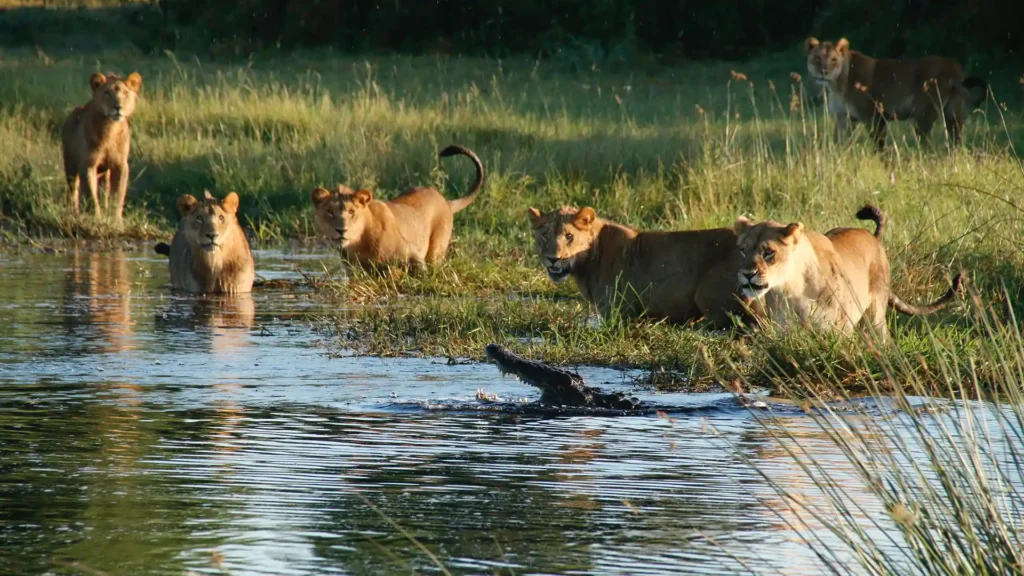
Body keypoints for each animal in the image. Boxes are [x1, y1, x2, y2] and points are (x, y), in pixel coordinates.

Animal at [61, 69, 142, 217]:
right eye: (107, 93)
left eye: (125, 93)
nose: (118, 107)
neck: (111, 129)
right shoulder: (88, 165)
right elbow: (91, 196)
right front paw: (96, 218)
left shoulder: (120, 165)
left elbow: (117, 195)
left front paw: (115, 219)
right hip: (70, 164)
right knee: (73, 189)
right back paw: (74, 212)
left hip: (104, 172)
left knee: (104, 191)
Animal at [307, 143, 483, 268]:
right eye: (329, 212)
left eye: (351, 212)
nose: (341, 230)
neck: (359, 243)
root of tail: (445, 201)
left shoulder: (413, 255)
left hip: (436, 250)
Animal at [737, 203, 958, 340]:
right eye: (743, 250)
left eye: (769, 253)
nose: (747, 273)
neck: (793, 289)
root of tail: (874, 237)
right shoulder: (783, 331)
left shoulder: (838, 330)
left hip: (876, 316)